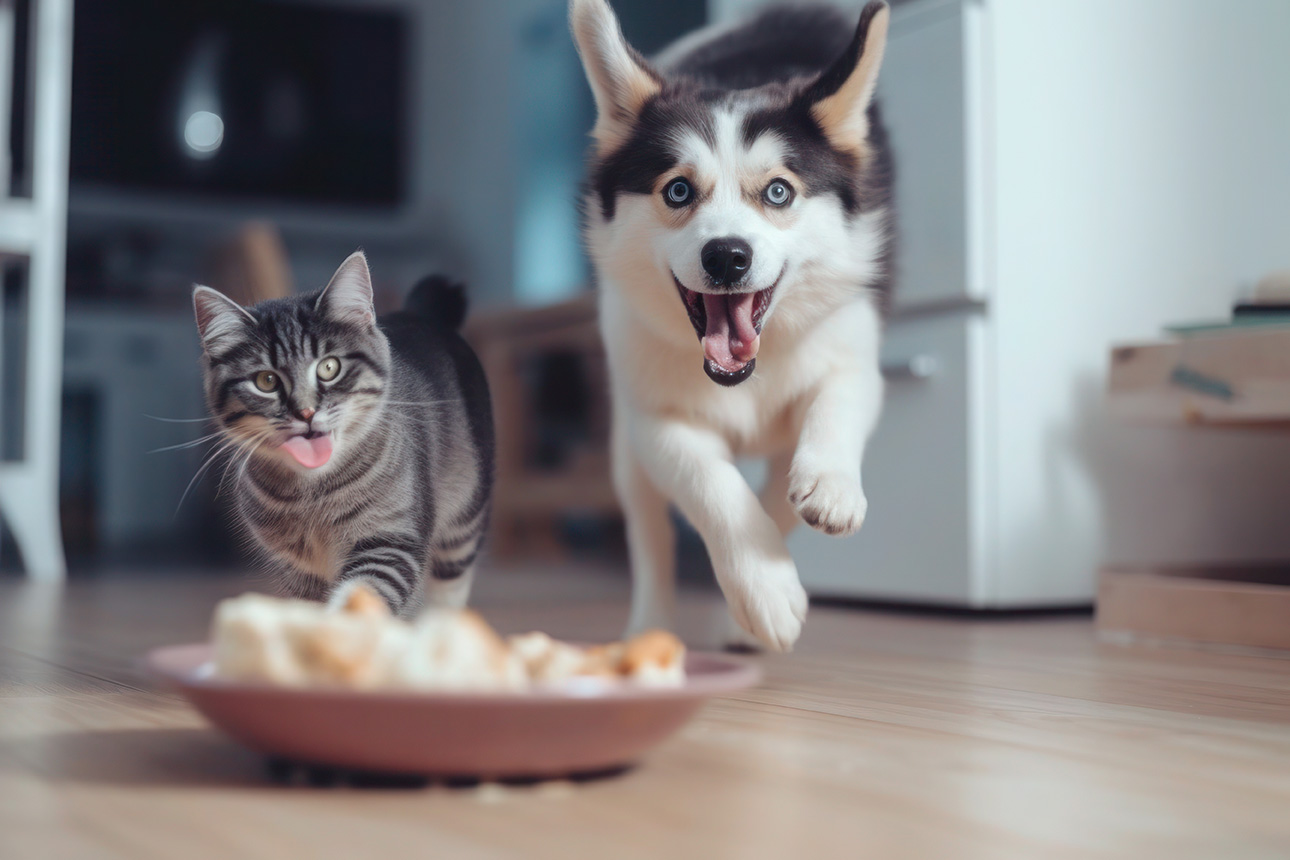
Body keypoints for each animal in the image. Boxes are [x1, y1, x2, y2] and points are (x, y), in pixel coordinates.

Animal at [190, 248, 492, 611]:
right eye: (266, 381)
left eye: (329, 367)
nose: (306, 412)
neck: (312, 493)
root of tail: (420, 313)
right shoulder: (298, 568)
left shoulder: (391, 539)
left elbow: (363, 593)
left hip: (462, 525)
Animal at [570, 0, 892, 644]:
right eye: (677, 190)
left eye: (778, 192)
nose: (726, 256)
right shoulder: (656, 418)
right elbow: (711, 484)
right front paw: (764, 588)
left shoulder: (849, 348)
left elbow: (834, 406)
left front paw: (827, 486)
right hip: (624, 439)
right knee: (648, 532)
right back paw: (652, 624)